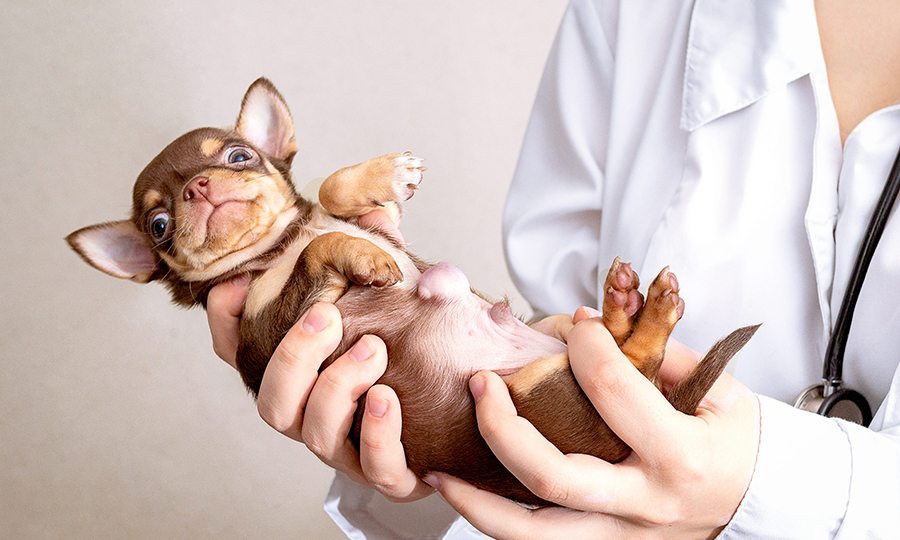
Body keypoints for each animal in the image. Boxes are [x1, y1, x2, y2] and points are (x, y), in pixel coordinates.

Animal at [67, 77, 756, 506]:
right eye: (158, 225)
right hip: (550, 395)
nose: (198, 188)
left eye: (239, 156)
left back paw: (623, 303)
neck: (275, 246)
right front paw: (364, 258)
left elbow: (333, 191)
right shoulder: (267, 327)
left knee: (624, 355)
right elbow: (319, 251)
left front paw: (384, 175)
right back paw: (640, 306)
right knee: (631, 361)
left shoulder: (352, 221)